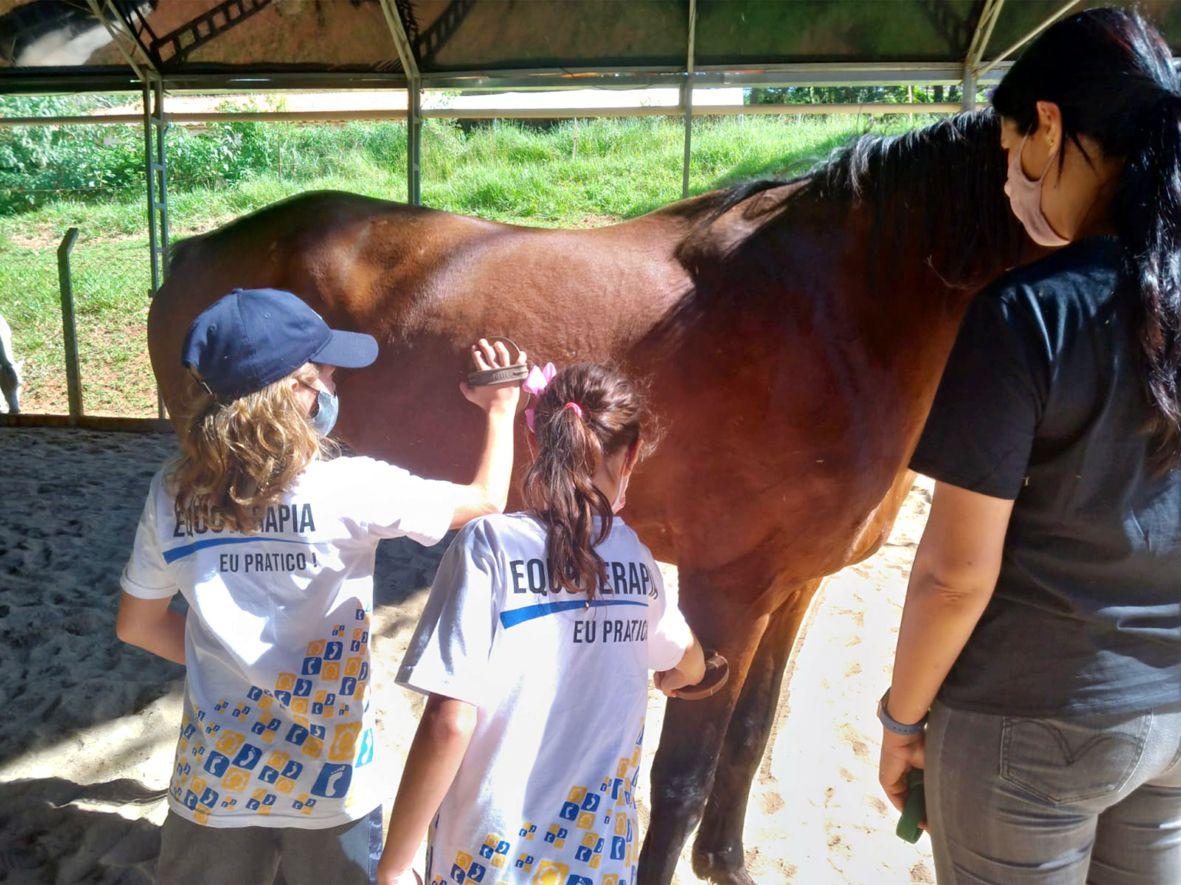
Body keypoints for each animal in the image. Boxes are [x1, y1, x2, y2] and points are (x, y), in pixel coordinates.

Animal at [147, 114, 1029, 879]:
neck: (833, 310)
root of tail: (196, 248)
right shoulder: (727, 593)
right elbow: (679, 778)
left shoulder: (793, 588)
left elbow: (750, 734)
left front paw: (727, 862)